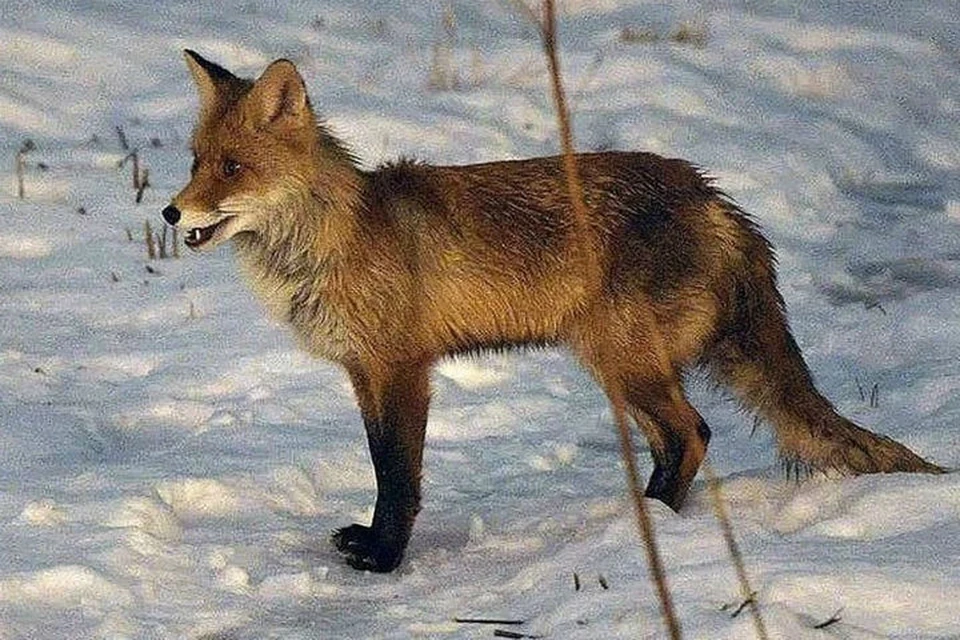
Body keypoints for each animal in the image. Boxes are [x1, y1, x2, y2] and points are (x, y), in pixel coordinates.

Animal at [165, 50, 944, 568]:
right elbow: (382, 462)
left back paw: (648, 528)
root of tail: (713, 194)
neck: (333, 241)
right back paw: (646, 519)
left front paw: (384, 557)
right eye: (195, 160)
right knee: (680, 439)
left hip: (622, 361)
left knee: (692, 433)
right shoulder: (364, 372)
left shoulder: (401, 367)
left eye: (232, 169)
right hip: (620, 365)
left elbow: (397, 473)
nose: (171, 213)